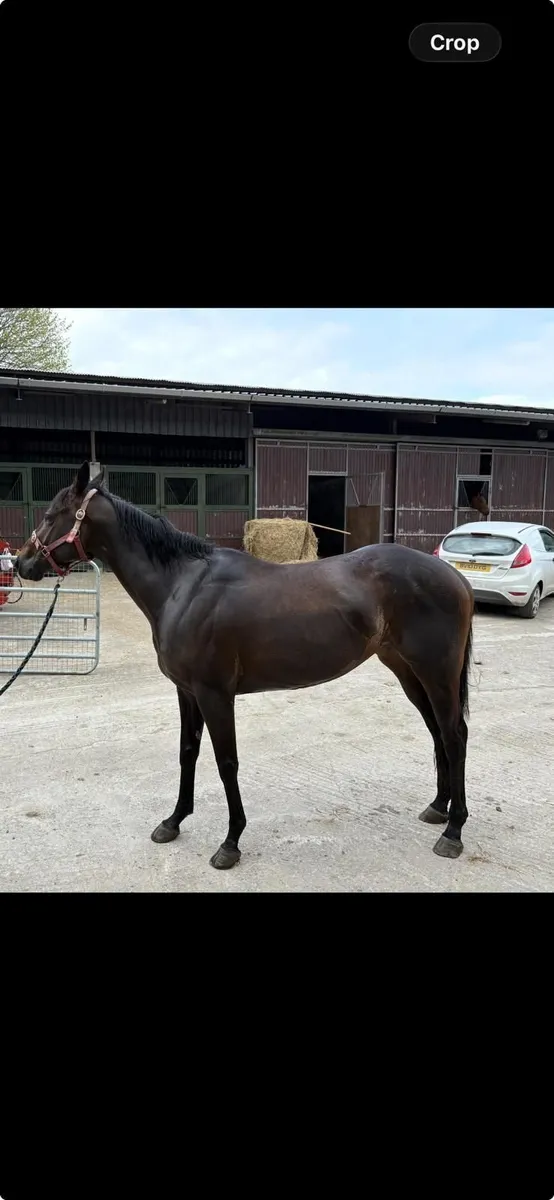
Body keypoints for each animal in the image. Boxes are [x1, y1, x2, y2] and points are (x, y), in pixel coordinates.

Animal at [15, 462, 474, 870]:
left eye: (51, 515)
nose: (21, 562)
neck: (183, 587)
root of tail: (454, 577)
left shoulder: (215, 694)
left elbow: (226, 762)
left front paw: (230, 842)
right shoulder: (187, 691)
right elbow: (187, 753)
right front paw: (173, 822)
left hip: (436, 673)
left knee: (454, 736)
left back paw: (453, 832)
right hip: (407, 671)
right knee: (437, 732)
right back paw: (437, 807)